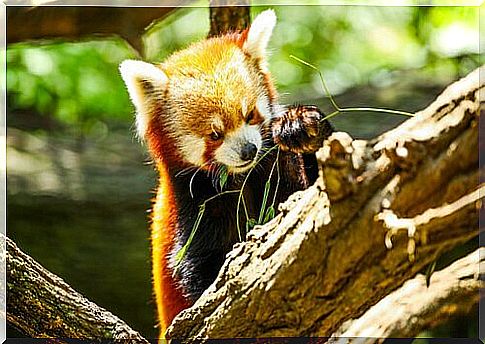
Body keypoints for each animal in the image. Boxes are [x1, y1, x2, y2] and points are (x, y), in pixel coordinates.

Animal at [120, 8, 332, 338]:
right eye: (215, 134)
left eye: (250, 115)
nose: (248, 151)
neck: (241, 176)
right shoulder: (194, 204)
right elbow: (198, 271)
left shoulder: (274, 168)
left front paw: (304, 127)